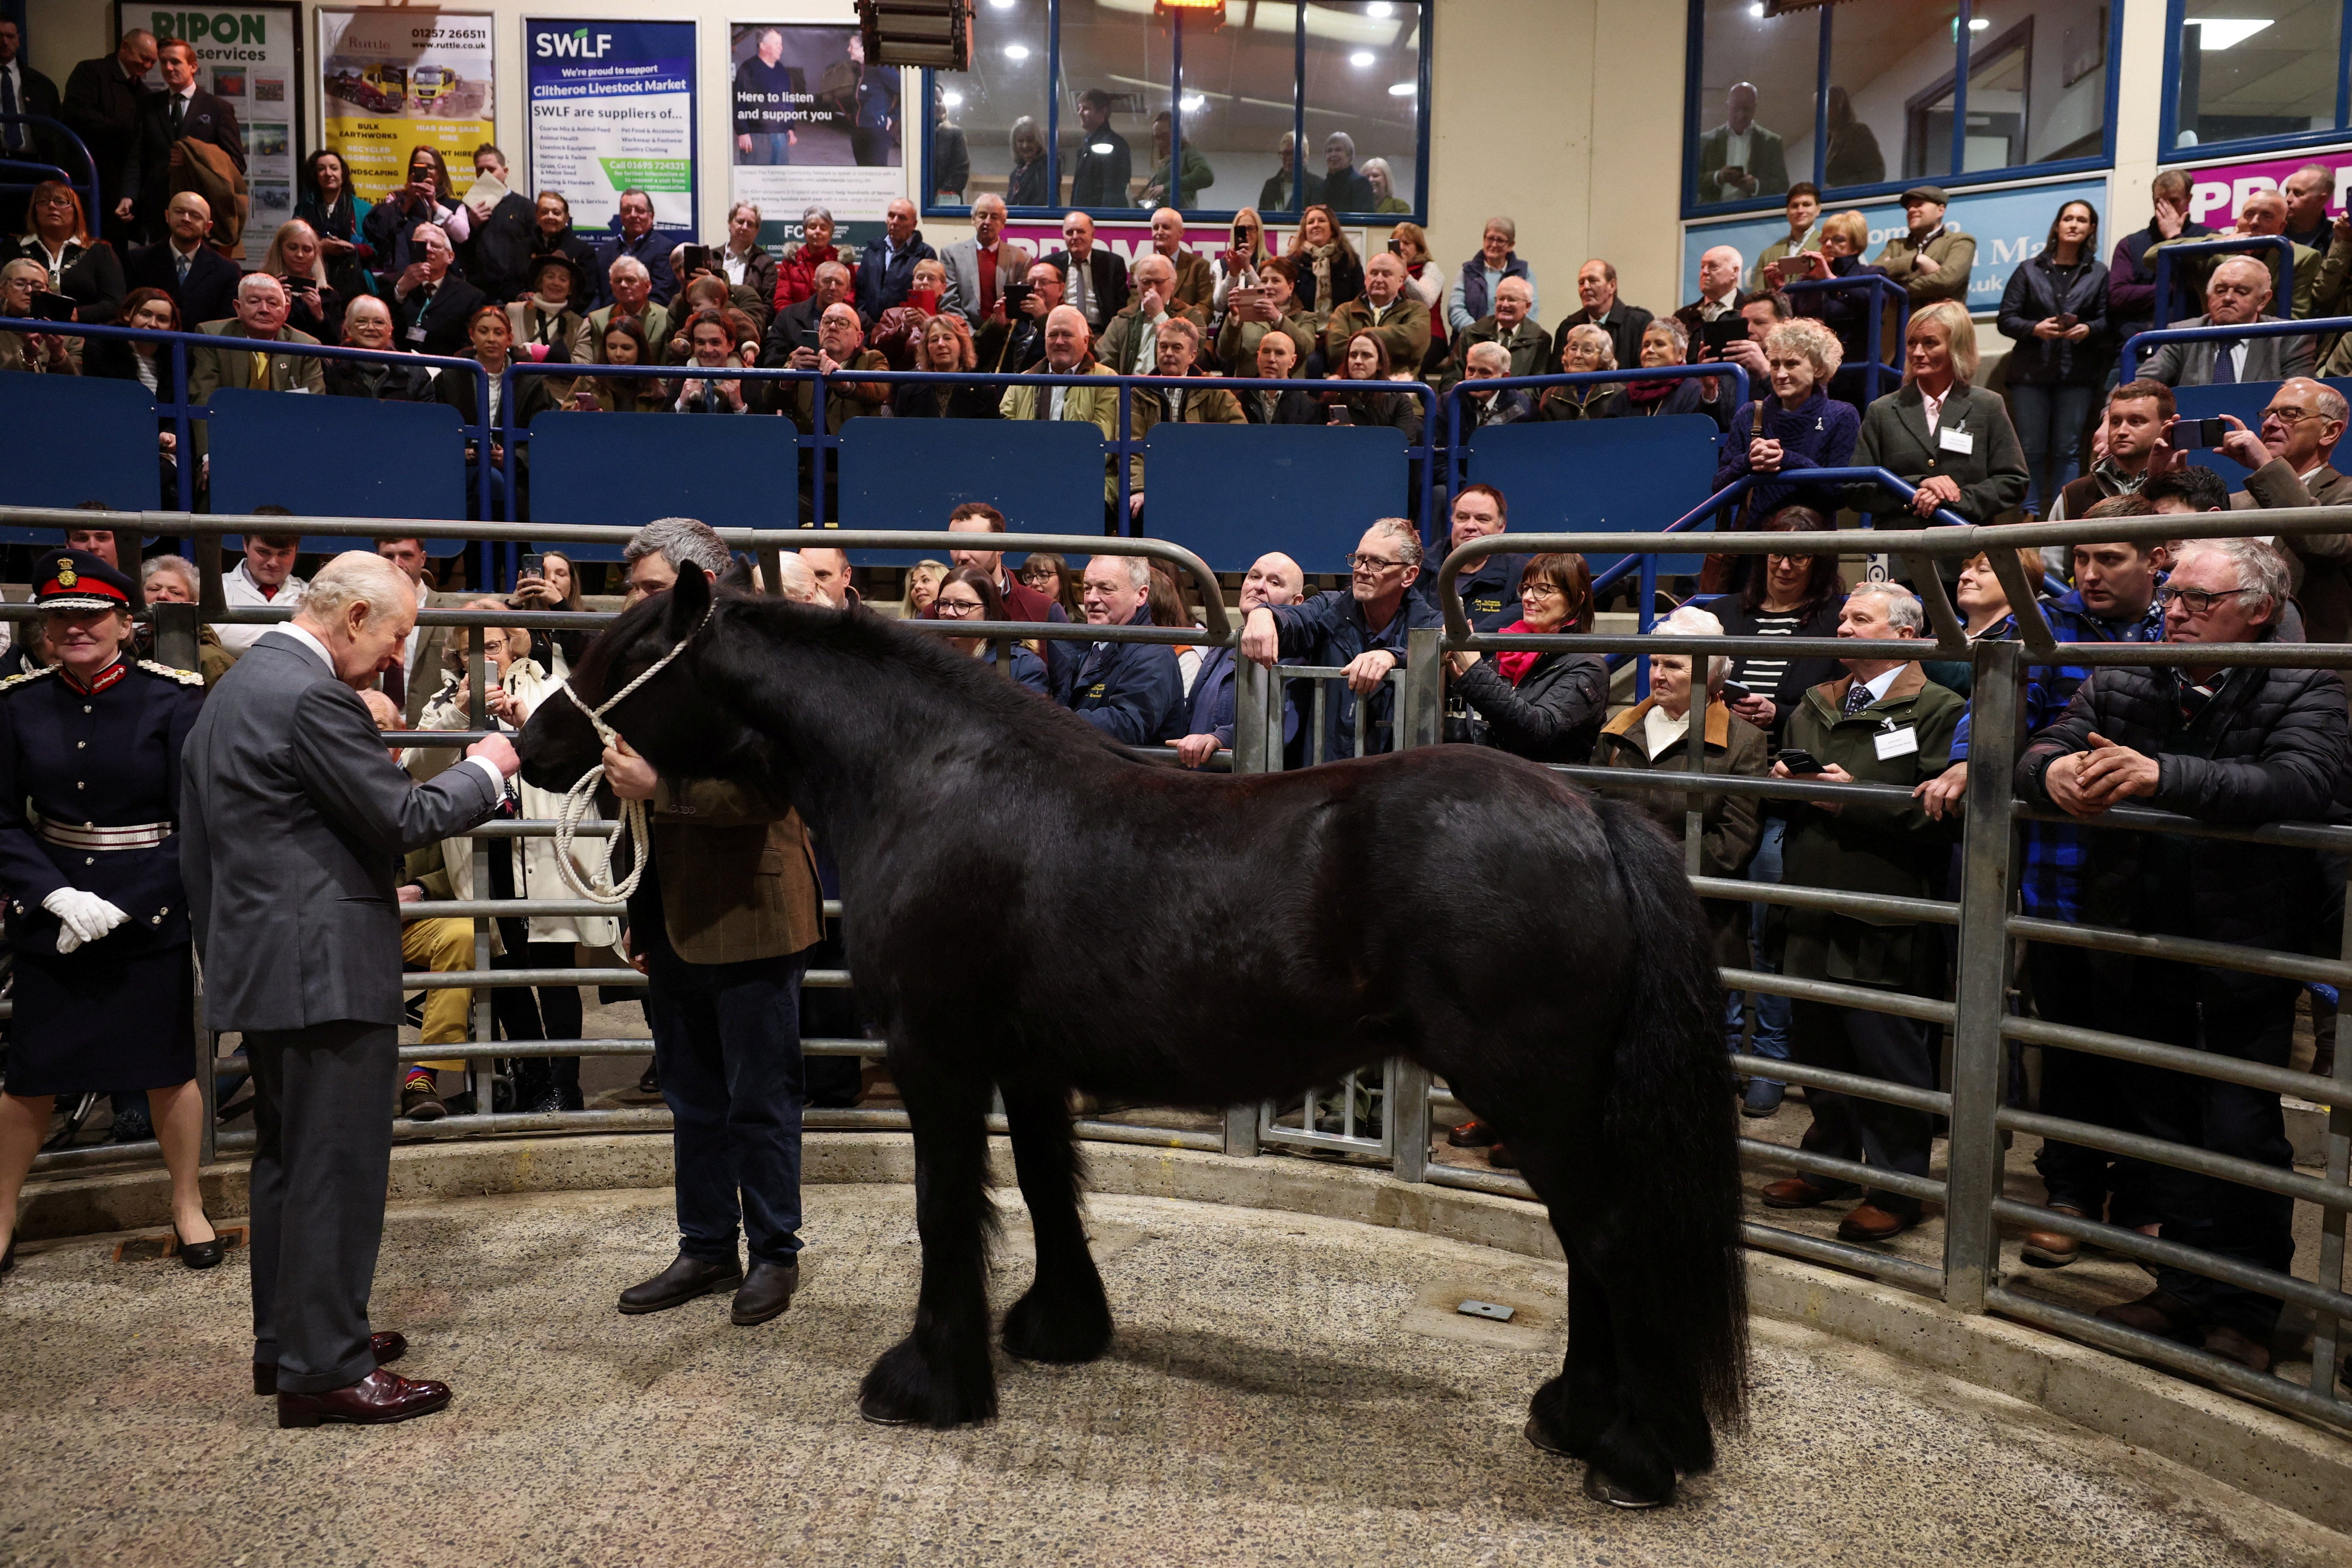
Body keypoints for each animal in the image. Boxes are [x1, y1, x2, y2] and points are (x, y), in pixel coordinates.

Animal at [518, 563, 1749, 1510]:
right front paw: (1059, 1328)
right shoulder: (1024, 1063)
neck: (928, 777)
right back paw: (1577, 1416)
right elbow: (1047, 1187)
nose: (531, 745)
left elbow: (944, 1210)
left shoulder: (935, 1058)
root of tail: (1593, 816)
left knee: (1611, 1239)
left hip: (1531, 1095)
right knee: (1588, 1246)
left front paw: (925, 1384)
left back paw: (1633, 1455)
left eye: (622, 649)